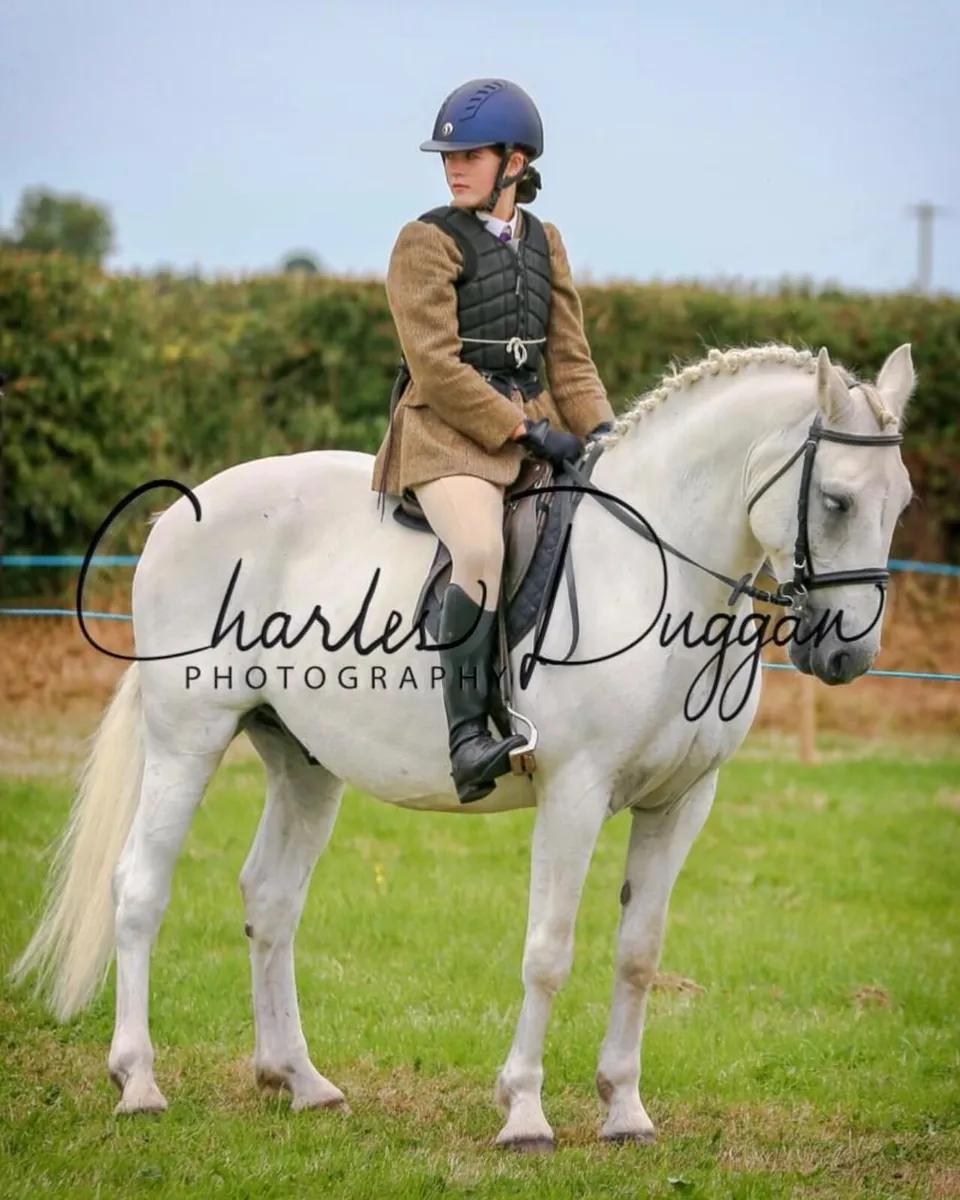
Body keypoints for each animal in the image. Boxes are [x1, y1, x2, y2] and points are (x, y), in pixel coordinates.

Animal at [12, 341, 916, 1151]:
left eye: (899, 502)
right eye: (836, 501)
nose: (848, 655)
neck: (654, 574)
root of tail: (182, 510)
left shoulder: (681, 802)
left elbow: (638, 955)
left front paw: (625, 1112)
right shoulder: (574, 792)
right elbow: (548, 952)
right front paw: (525, 1116)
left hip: (302, 761)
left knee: (270, 900)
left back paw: (300, 1082)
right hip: (189, 737)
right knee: (140, 888)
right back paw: (139, 1083)